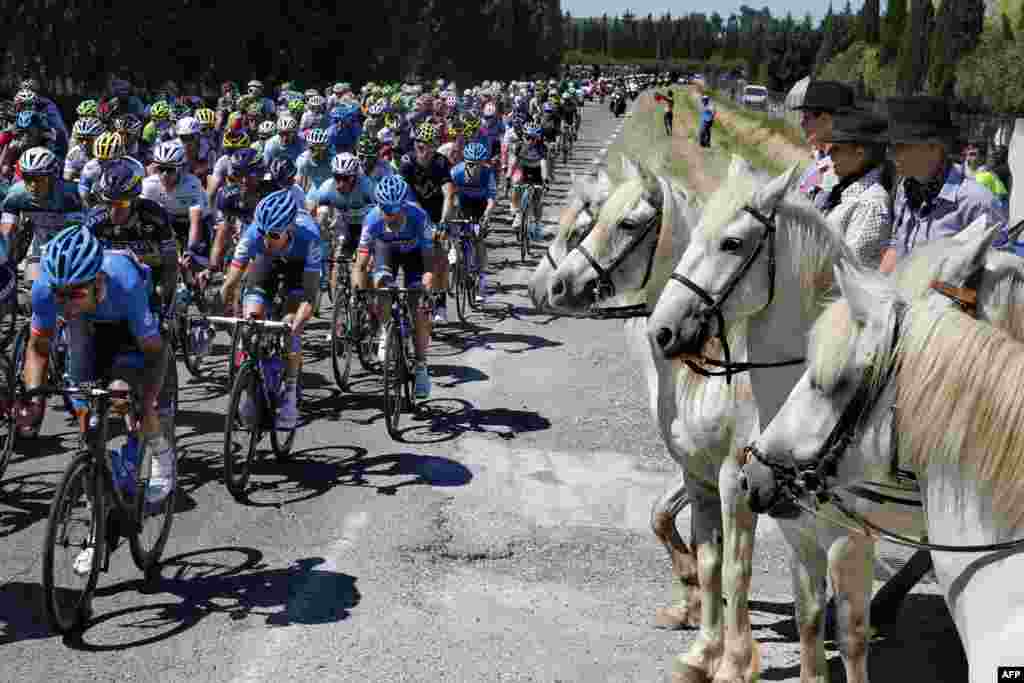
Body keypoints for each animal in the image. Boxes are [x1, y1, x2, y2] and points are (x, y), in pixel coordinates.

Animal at [548, 157, 765, 679]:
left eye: (625, 223)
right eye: (593, 220)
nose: (556, 286)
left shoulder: (730, 473)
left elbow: (729, 562)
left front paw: (731, 655)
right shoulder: (693, 465)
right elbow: (673, 525)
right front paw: (690, 606)